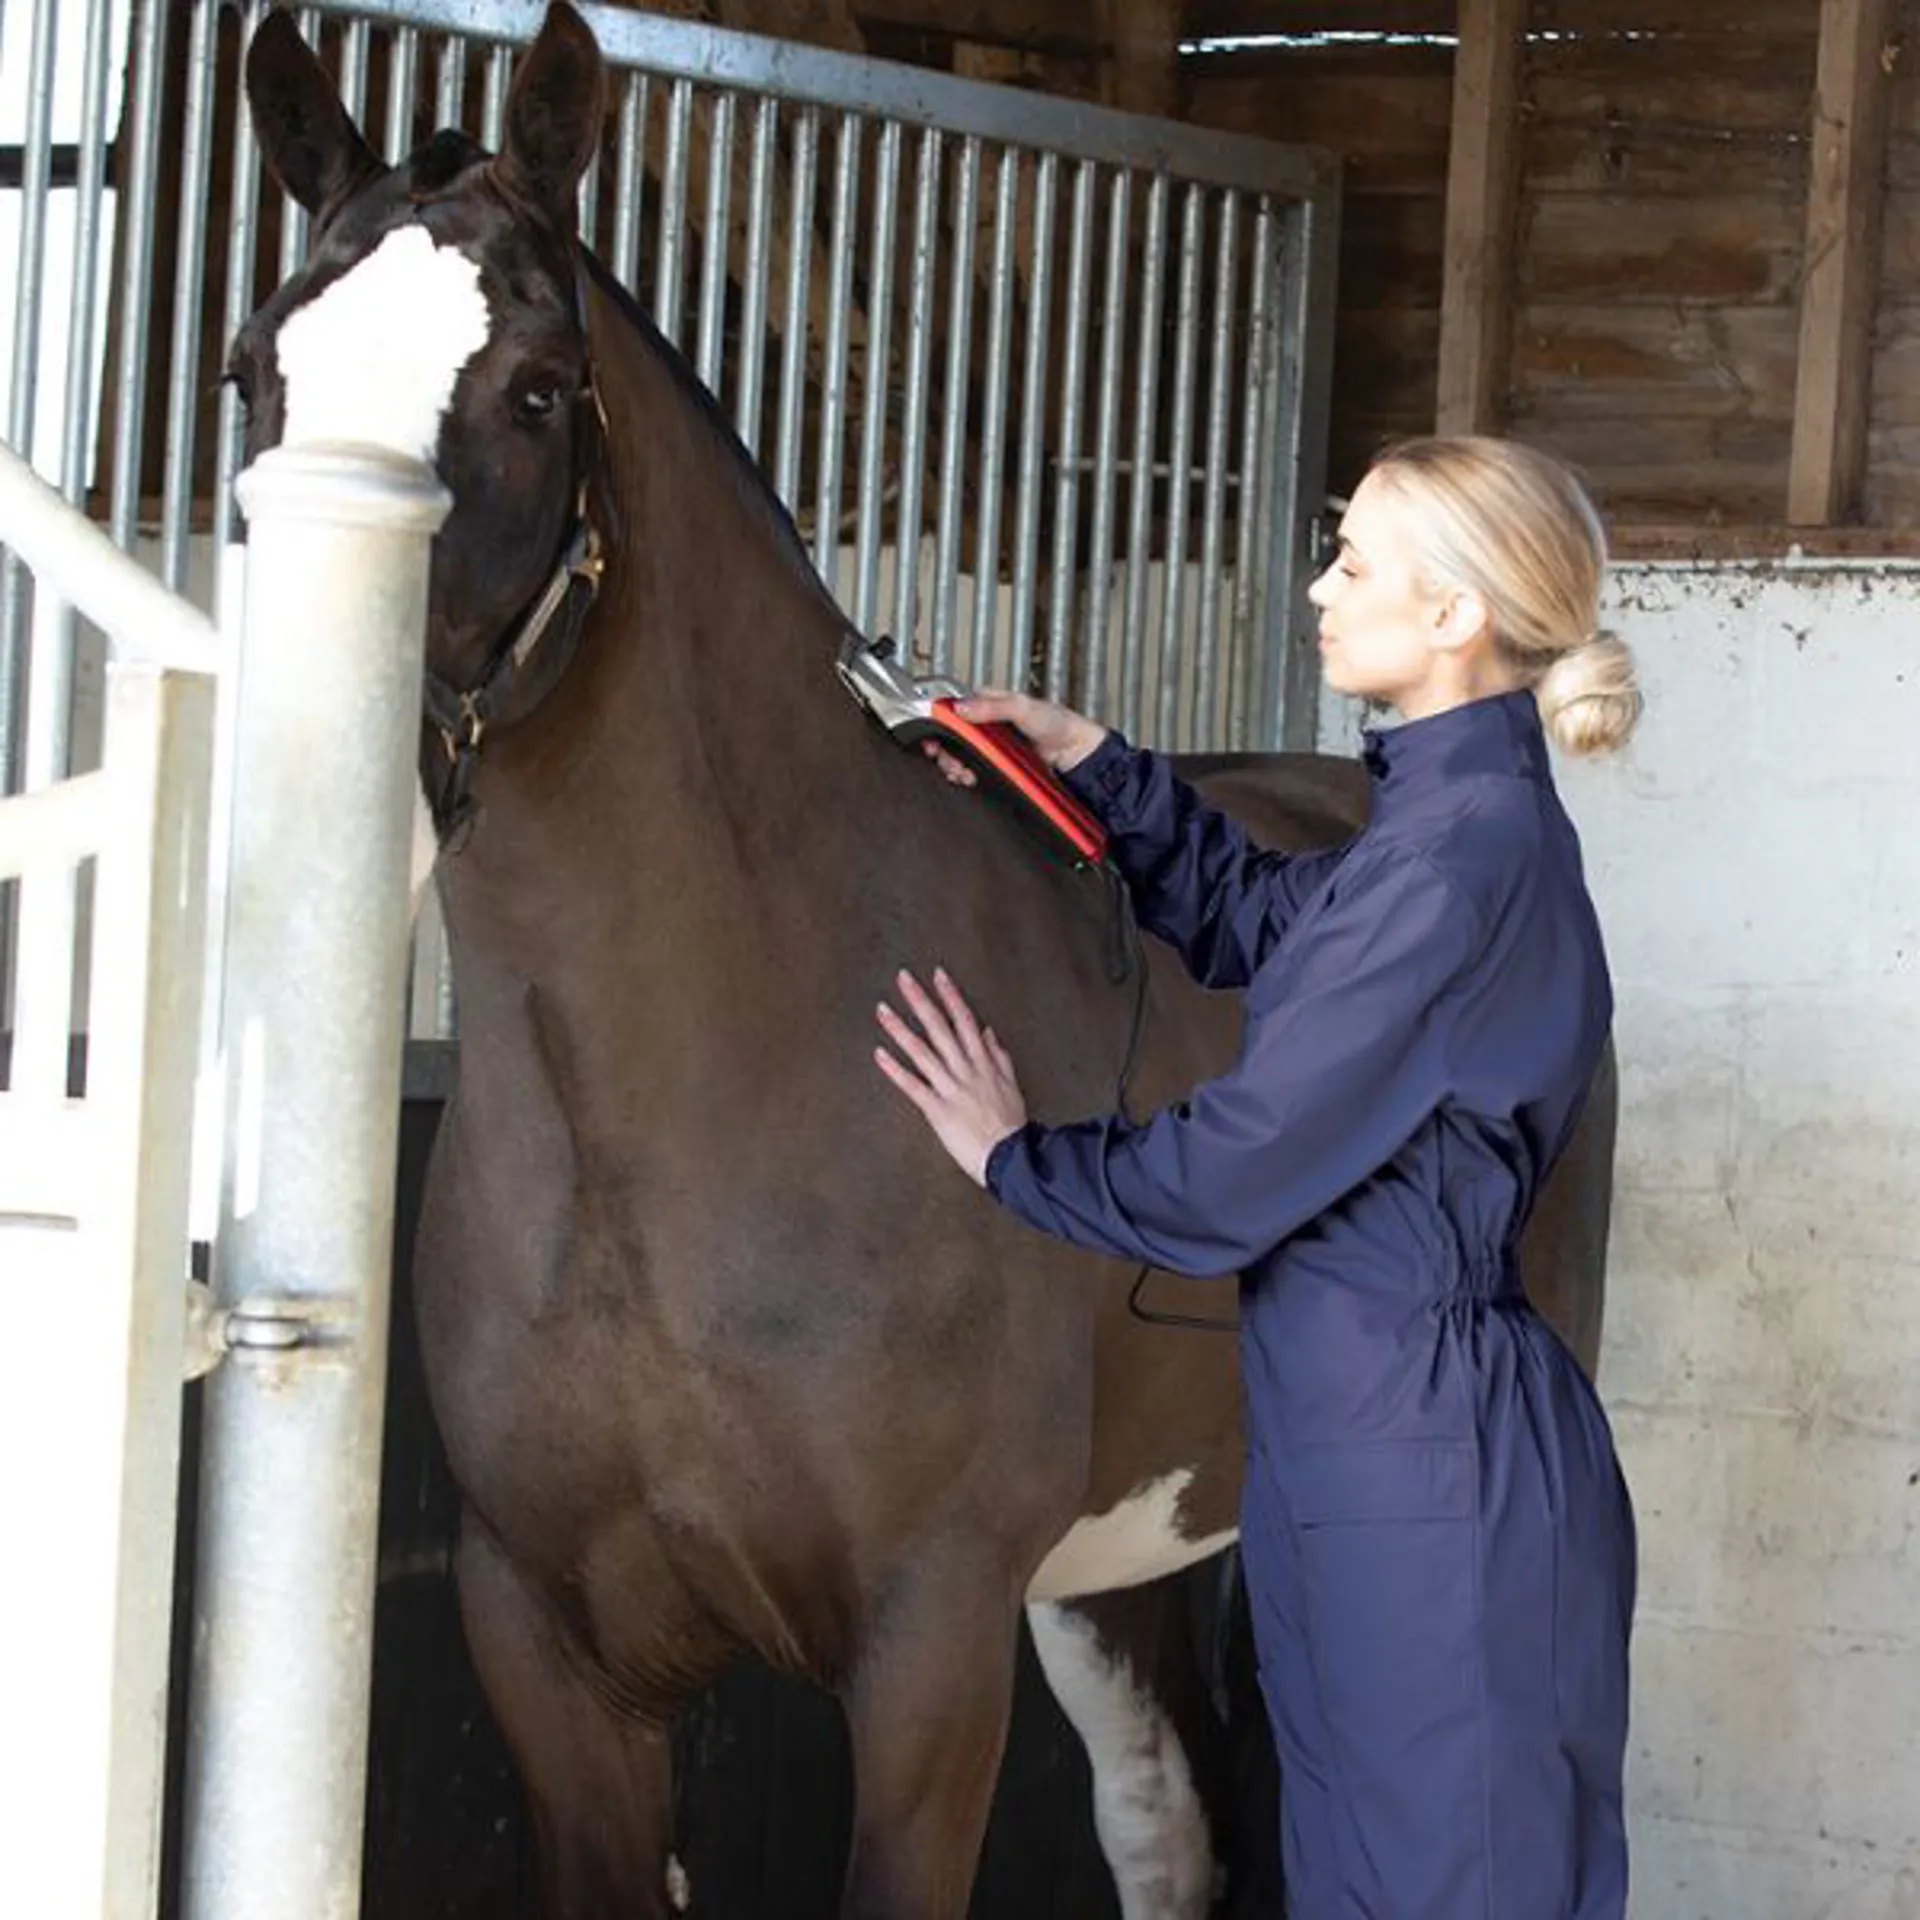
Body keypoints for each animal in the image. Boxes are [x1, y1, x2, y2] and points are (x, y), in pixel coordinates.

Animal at [233, 8, 1615, 1914]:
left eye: (532, 389)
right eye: (256, 377)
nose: (326, 756)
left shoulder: (927, 1651)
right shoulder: (554, 1661)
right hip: (1124, 1568)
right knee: (1167, 1824)